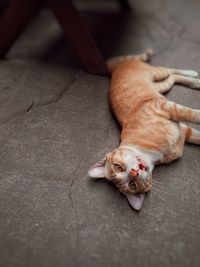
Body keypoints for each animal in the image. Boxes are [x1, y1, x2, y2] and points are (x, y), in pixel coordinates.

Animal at [88, 48, 200, 211]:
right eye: (132, 185)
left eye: (118, 167)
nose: (134, 172)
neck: (154, 154)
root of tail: (115, 69)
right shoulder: (184, 130)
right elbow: (198, 136)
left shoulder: (166, 108)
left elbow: (193, 114)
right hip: (161, 87)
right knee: (172, 78)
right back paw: (195, 81)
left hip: (156, 74)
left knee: (172, 71)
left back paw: (193, 75)